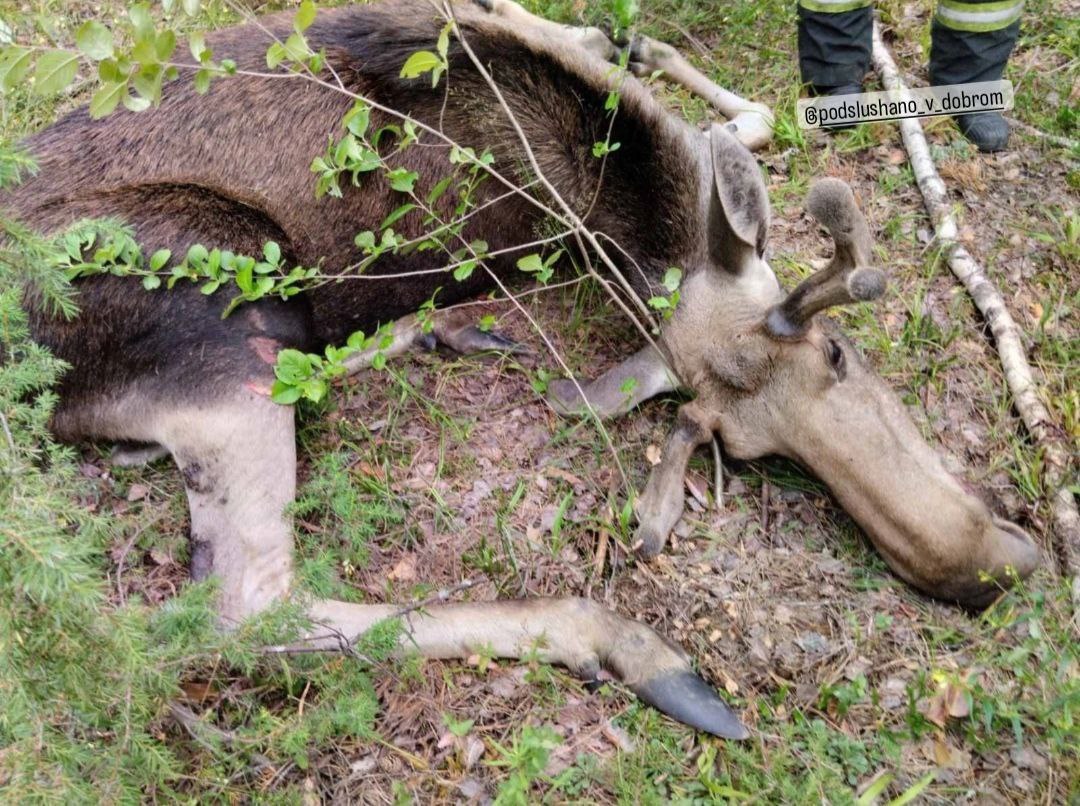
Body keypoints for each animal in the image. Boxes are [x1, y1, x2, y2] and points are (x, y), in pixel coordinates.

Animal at [6, 0, 1036, 734]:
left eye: (741, 452)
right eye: (837, 348)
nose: (988, 572)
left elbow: (736, 117)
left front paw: (639, 47)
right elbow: (747, 120)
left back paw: (438, 332)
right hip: (227, 307)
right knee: (247, 608)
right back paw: (627, 646)